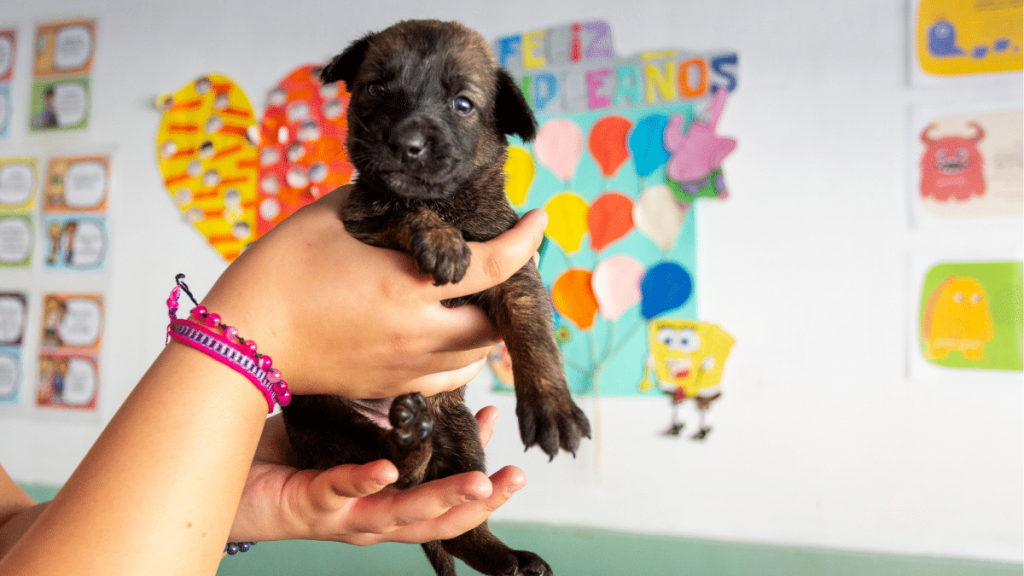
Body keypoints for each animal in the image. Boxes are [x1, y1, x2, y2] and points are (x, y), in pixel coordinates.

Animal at [282, 17, 593, 573]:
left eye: (463, 104)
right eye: (375, 89)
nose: (405, 142)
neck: (451, 203)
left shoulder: (515, 271)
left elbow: (533, 331)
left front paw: (552, 406)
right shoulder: (364, 222)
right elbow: (403, 210)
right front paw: (441, 240)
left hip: (462, 436)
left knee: (457, 521)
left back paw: (509, 557)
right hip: (319, 413)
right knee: (392, 477)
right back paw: (408, 440)